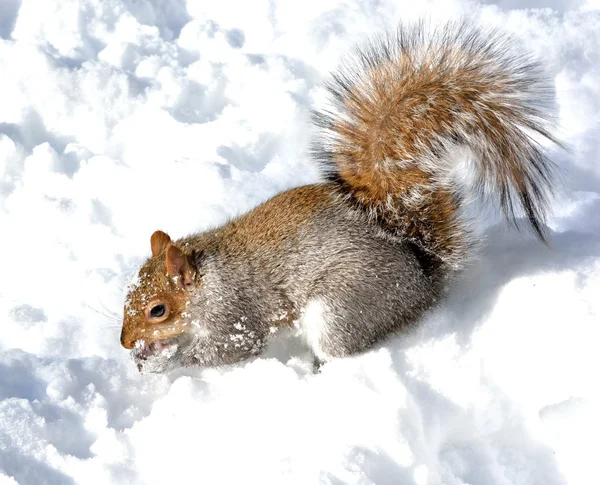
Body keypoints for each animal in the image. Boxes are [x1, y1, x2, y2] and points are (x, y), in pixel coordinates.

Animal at [120, 20, 556, 372]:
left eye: (157, 310)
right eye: (128, 293)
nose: (124, 342)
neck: (206, 278)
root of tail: (422, 279)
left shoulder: (236, 312)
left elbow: (230, 347)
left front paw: (165, 361)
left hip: (343, 307)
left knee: (341, 346)